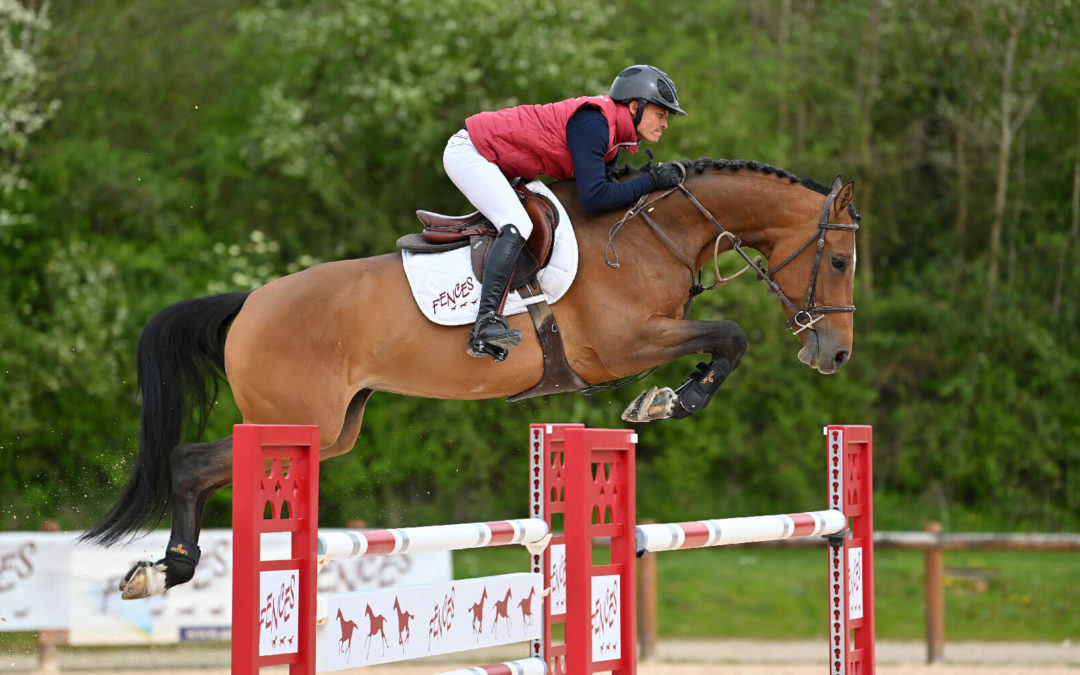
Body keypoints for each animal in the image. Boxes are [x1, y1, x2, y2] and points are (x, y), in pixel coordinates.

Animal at [79, 158, 859, 600]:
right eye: (841, 261)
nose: (834, 356)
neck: (647, 234)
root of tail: (250, 302)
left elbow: (725, 338)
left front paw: (667, 397)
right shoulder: (624, 343)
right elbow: (731, 336)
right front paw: (667, 400)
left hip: (329, 431)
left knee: (207, 467)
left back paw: (165, 569)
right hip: (295, 422)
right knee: (190, 462)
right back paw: (167, 570)